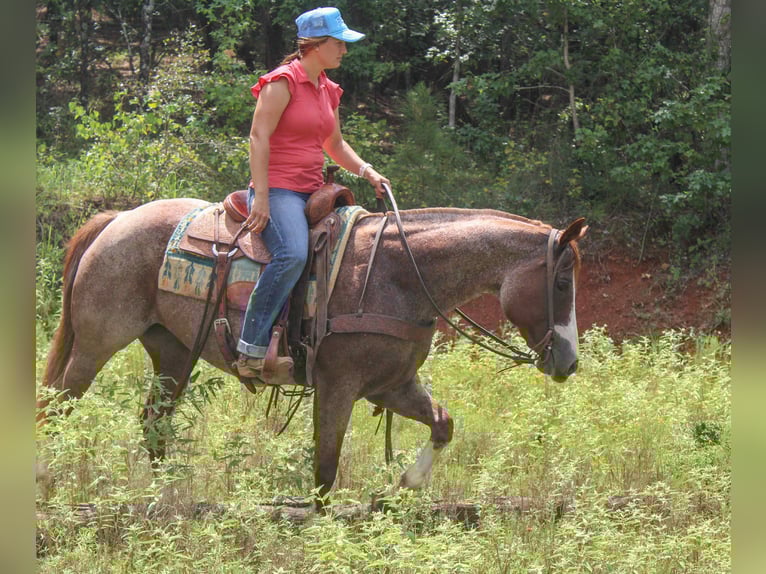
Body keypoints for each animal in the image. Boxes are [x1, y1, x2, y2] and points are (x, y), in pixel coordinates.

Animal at [37, 197, 587, 506]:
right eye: (562, 282)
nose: (569, 362)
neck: (401, 275)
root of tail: (117, 219)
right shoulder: (338, 386)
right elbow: (324, 471)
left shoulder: (392, 386)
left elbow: (443, 424)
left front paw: (406, 484)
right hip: (96, 343)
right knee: (54, 408)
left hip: (172, 351)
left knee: (154, 422)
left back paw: (163, 496)